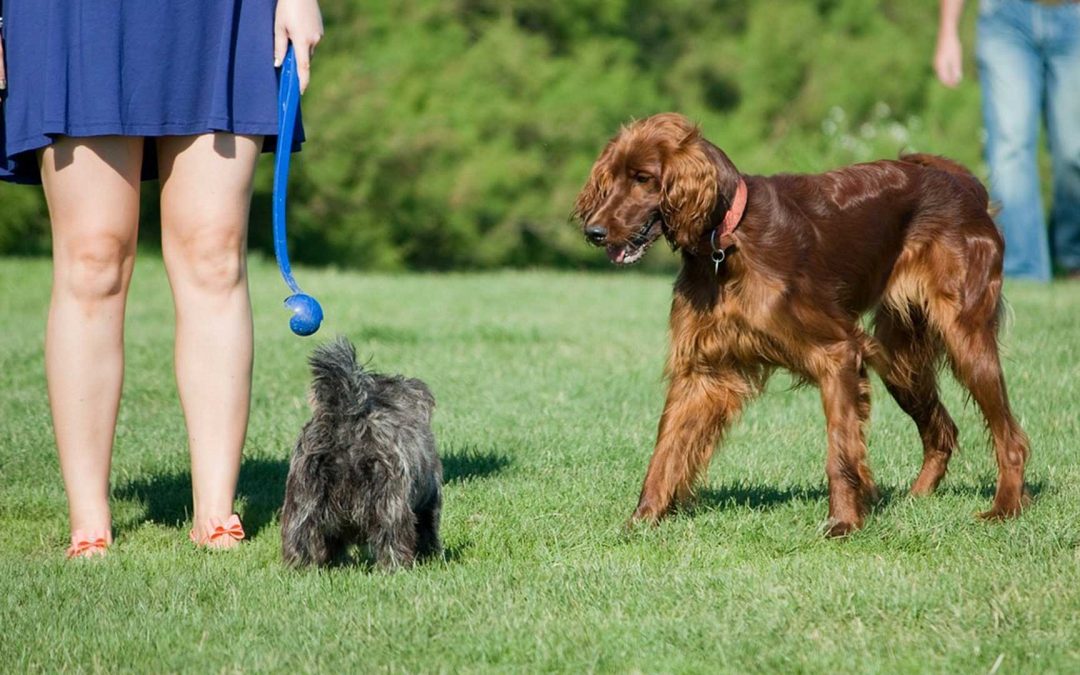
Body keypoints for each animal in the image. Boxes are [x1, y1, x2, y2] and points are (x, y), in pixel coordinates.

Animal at [282, 336, 447, 570]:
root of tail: (346, 421)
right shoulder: (429, 500)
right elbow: (428, 531)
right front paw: (431, 556)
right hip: (390, 504)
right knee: (392, 537)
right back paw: (396, 567)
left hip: (302, 501)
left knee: (299, 536)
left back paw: (300, 567)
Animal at [574, 113, 1028, 533]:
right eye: (611, 178)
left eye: (643, 179)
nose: (593, 232)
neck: (726, 243)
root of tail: (963, 185)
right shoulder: (702, 372)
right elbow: (666, 450)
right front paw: (641, 520)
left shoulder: (838, 354)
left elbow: (840, 452)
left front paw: (843, 522)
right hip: (900, 359)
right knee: (942, 430)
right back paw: (914, 499)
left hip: (965, 338)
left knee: (1010, 437)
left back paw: (1005, 508)